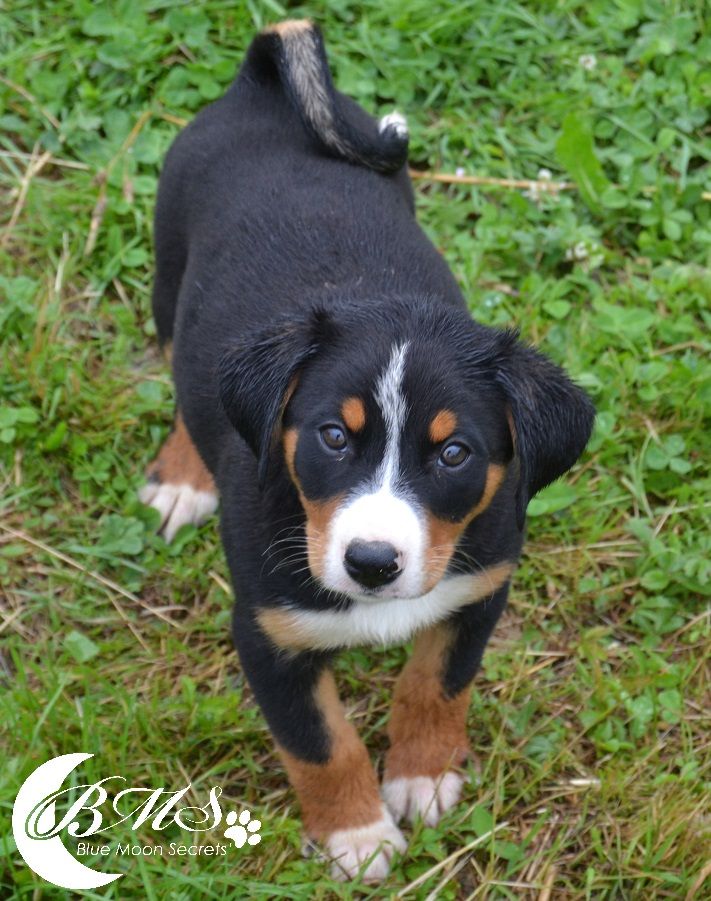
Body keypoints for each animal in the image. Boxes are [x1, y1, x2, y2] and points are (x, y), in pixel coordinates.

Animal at [139, 19, 596, 880]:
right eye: (332, 436)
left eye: (453, 455)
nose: (372, 563)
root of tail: (261, 84)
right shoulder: (268, 635)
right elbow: (319, 744)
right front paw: (356, 833)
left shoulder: (479, 586)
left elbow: (436, 684)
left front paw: (421, 775)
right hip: (167, 269)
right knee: (185, 376)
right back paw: (184, 477)